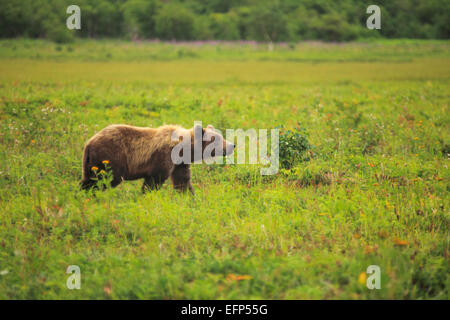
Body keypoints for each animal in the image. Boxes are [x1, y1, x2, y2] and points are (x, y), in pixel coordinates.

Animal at [81, 122, 236, 194]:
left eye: (221, 136)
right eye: (217, 139)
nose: (232, 145)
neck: (183, 149)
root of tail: (89, 143)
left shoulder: (179, 164)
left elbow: (183, 181)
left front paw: (191, 198)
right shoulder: (163, 156)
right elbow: (155, 180)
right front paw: (146, 196)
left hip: (91, 162)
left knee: (89, 180)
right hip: (111, 157)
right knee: (104, 179)